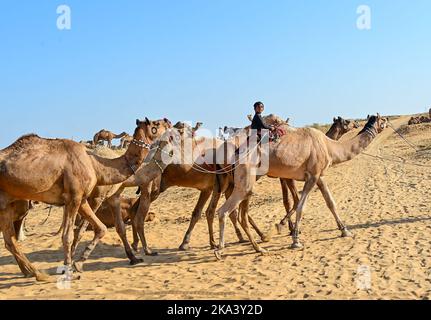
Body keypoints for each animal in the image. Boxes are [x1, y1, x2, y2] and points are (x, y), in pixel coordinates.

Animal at [0, 118, 176, 280]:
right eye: (157, 124)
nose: (169, 122)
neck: (97, 165)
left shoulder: (83, 198)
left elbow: (102, 228)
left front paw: (78, 263)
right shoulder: (78, 197)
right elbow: (70, 235)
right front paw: (69, 270)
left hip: (7, 204)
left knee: (9, 240)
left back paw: (33, 272)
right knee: (12, 238)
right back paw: (36, 273)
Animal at [214, 114, 390, 258]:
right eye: (383, 119)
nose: (387, 121)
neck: (329, 146)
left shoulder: (319, 175)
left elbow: (330, 202)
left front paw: (345, 230)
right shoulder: (311, 176)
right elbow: (300, 205)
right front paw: (295, 239)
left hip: (244, 179)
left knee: (237, 212)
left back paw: (257, 246)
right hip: (246, 178)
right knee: (224, 211)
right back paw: (221, 249)